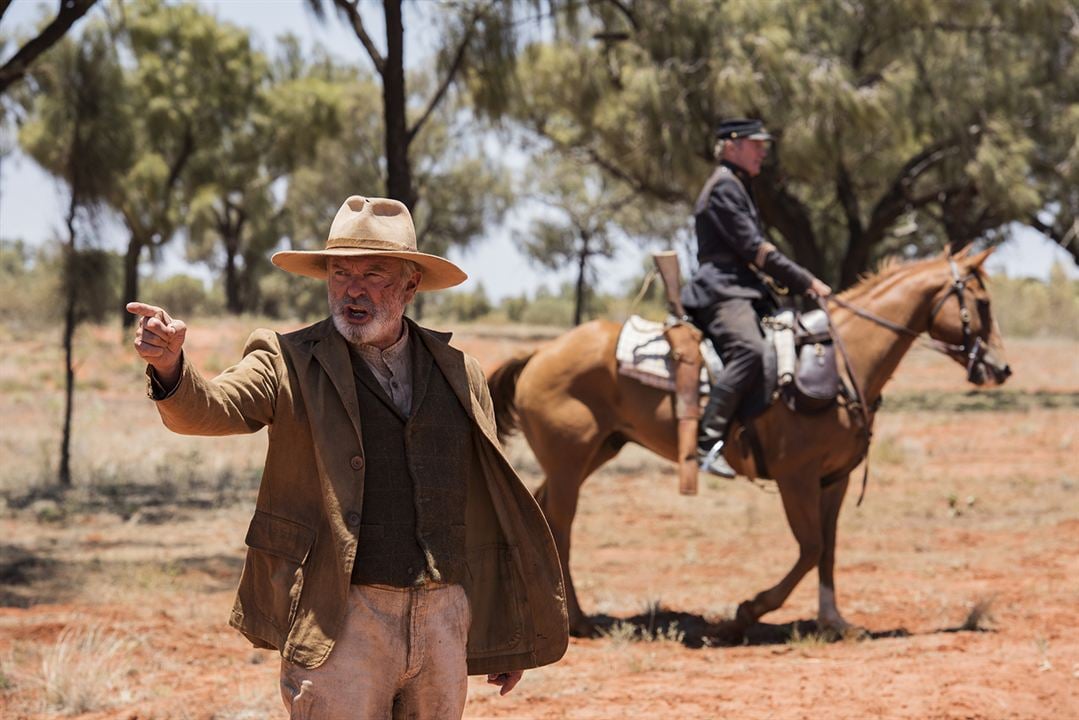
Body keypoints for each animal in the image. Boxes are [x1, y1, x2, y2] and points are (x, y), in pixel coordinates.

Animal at [489, 248, 1009, 634]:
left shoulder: (833, 480)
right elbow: (810, 548)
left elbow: (829, 549)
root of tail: (540, 352)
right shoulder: (796, 477)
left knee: (542, 514)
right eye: (982, 303)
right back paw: (577, 620)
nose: (1001, 368)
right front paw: (747, 613)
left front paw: (834, 621)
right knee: (560, 524)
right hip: (570, 462)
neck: (844, 362)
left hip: (594, 452)